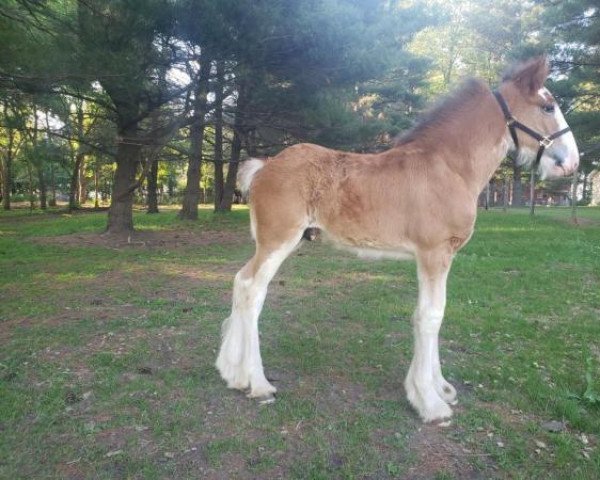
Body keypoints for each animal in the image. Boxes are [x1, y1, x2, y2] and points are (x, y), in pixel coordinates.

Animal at [216, 57, 576, 424]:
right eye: (548, 106)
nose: (572, 161)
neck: (449, 167)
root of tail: (264, 167)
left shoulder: (439, 256)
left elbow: (429, 314)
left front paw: (440, 388)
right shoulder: (434, 252)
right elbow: (431, 316)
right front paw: (430, 403)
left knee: (241, 282)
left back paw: (232, 373)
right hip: (278, 240)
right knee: (253, 290)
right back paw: (258, 383)